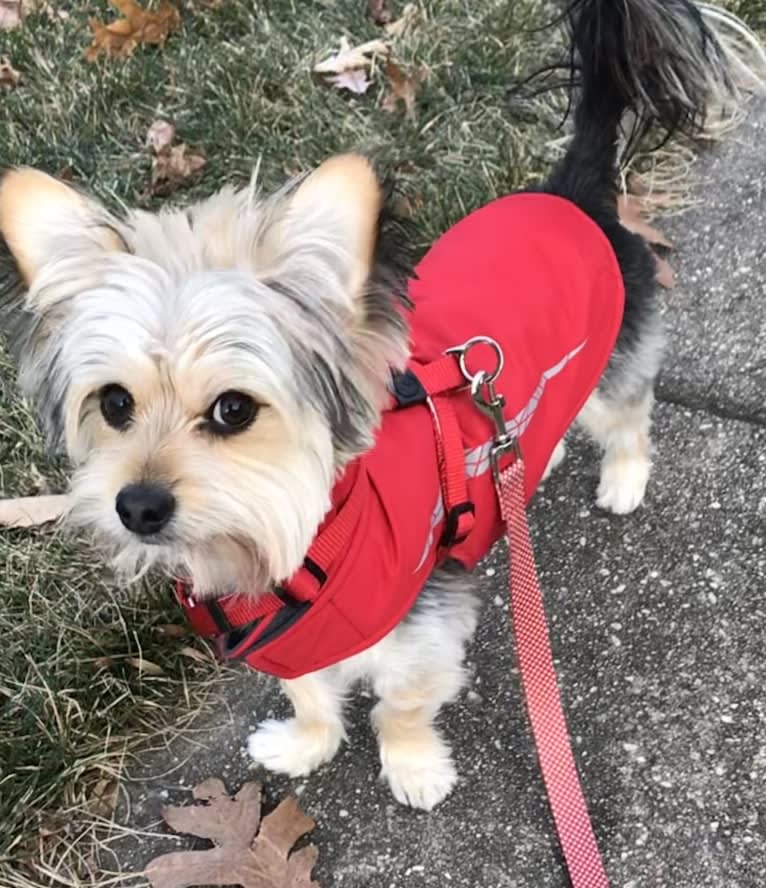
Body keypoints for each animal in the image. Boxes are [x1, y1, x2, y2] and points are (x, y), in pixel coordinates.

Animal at [0, 0, 760, 812]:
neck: (308, 544)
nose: (136, 506)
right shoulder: (295, 640)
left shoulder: (423, 629)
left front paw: (414, 767)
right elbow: (309, 694)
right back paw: (530, 459)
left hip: (612, 366)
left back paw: (622, 478)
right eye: (114, 403)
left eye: (234, 410)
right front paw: (307, 744)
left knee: (628, 417)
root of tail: (572, 191)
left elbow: (401, 705)